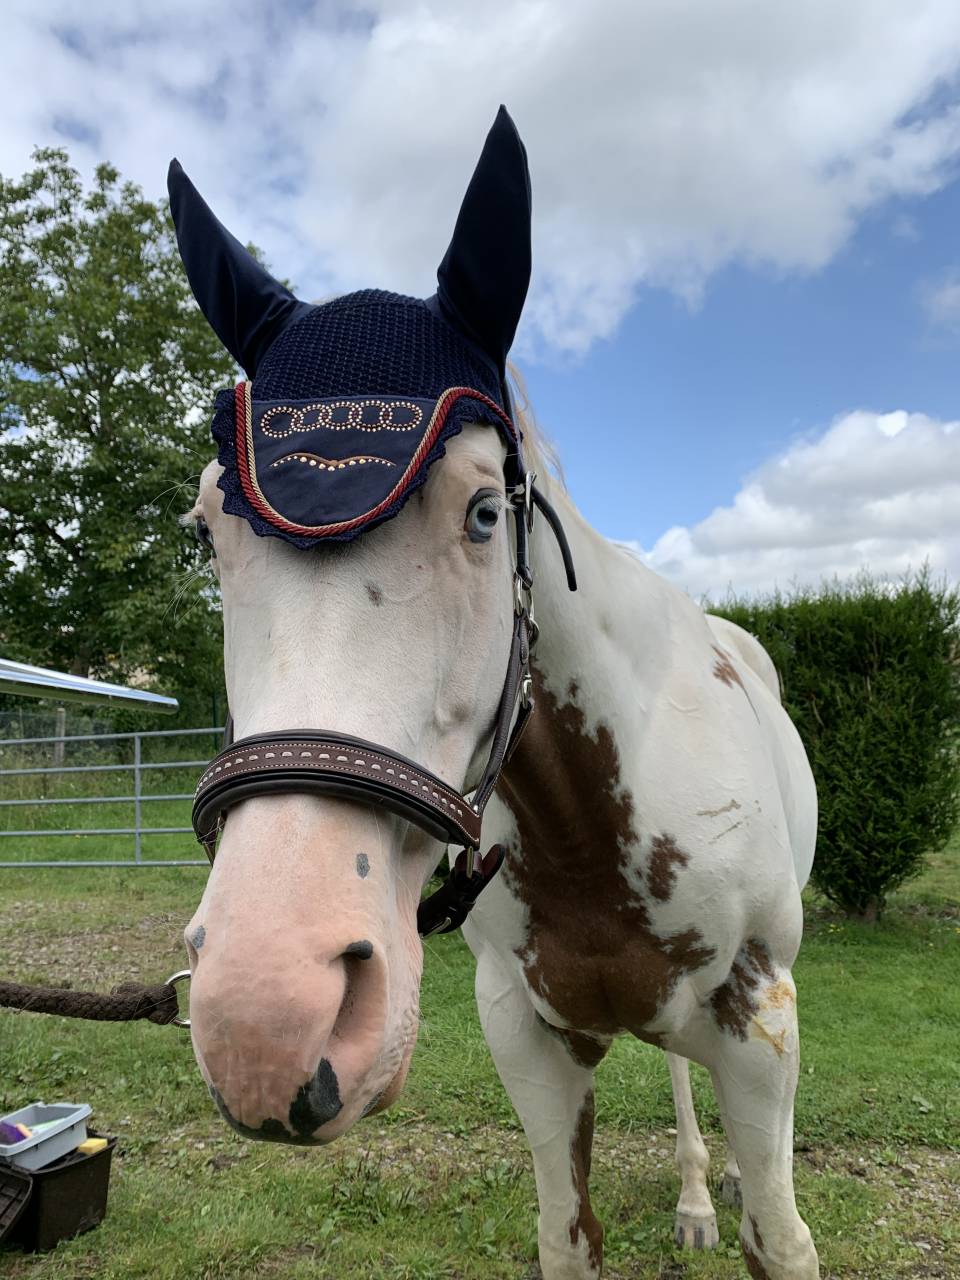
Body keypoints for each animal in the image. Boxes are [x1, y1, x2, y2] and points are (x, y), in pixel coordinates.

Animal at [171, 107, 819, 1280]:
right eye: (207, 532)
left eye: (482, 513)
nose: (266, 1015)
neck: (592, 822)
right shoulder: (527, 1038)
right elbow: (569, 1234)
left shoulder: (760, 1023)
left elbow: (781, 1241)